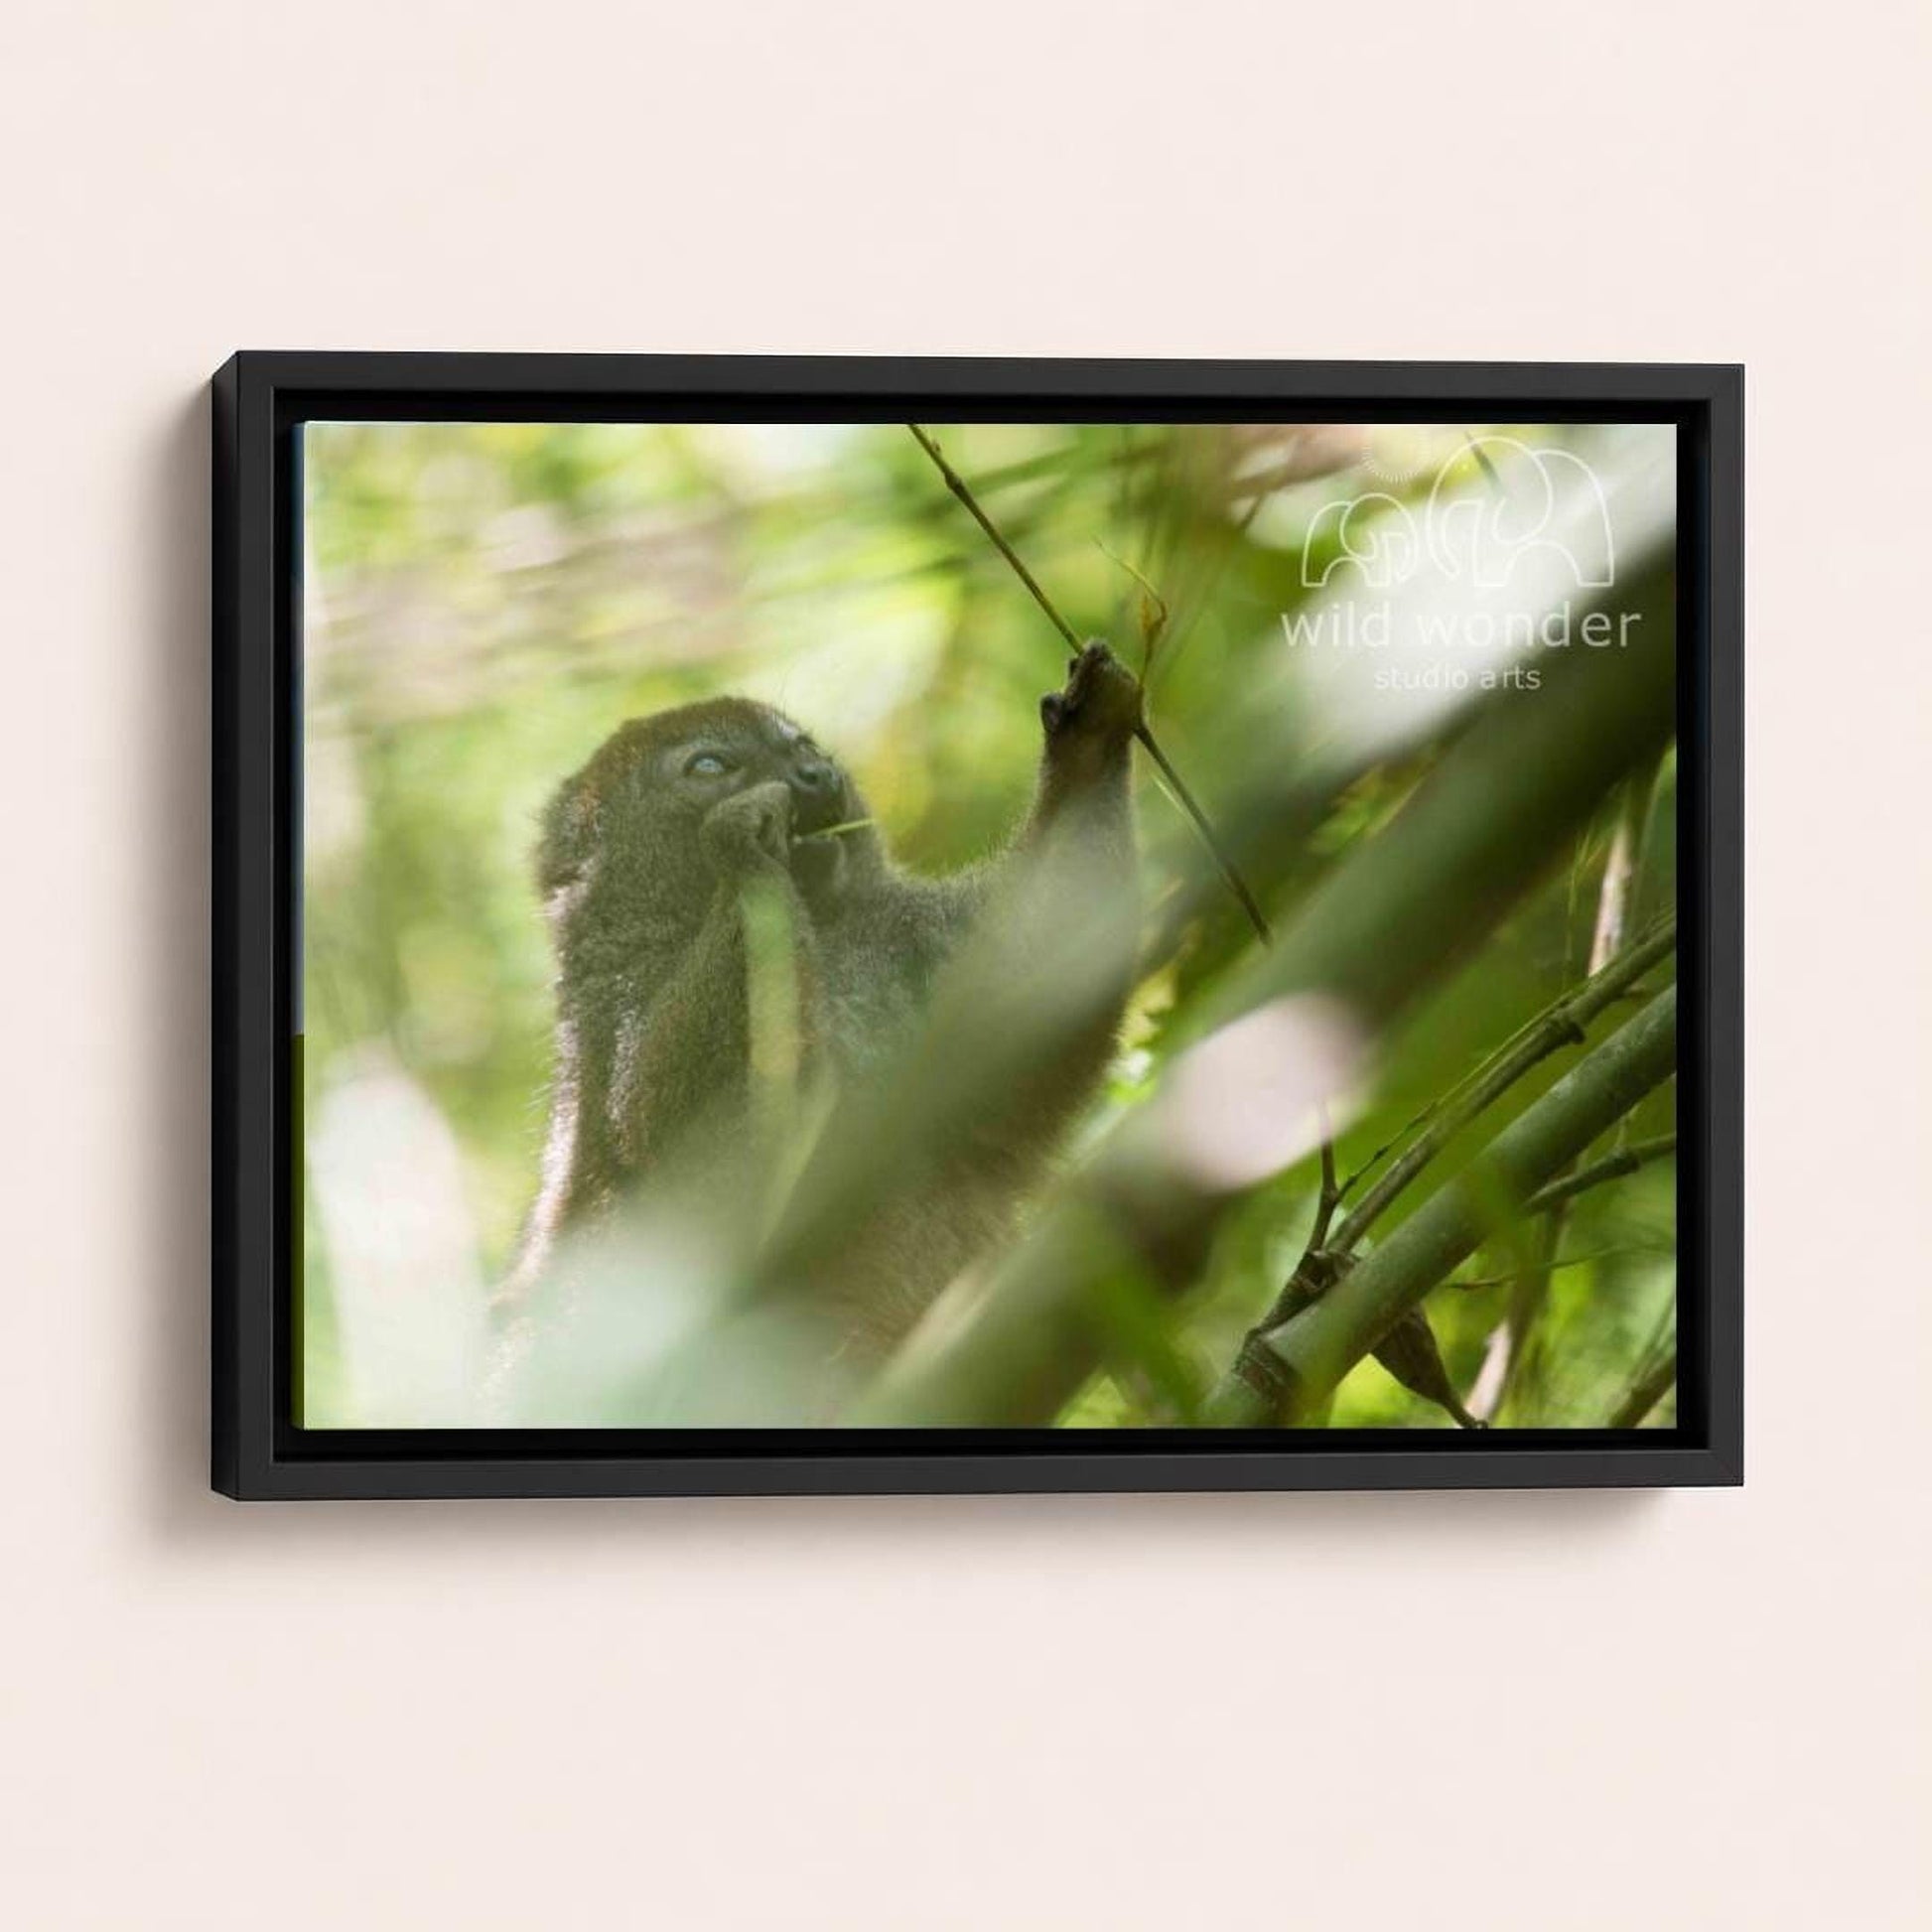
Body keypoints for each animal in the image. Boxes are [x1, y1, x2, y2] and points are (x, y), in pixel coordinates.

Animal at [498, 641, 1144, 1406]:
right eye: (711, 766)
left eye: (800, 745)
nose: (816, 773)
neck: (832, 932)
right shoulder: (611, 1023)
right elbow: (680, 1174)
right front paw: (746, 850)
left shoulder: (915, 943)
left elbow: (1044, 984)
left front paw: (1089, 741)